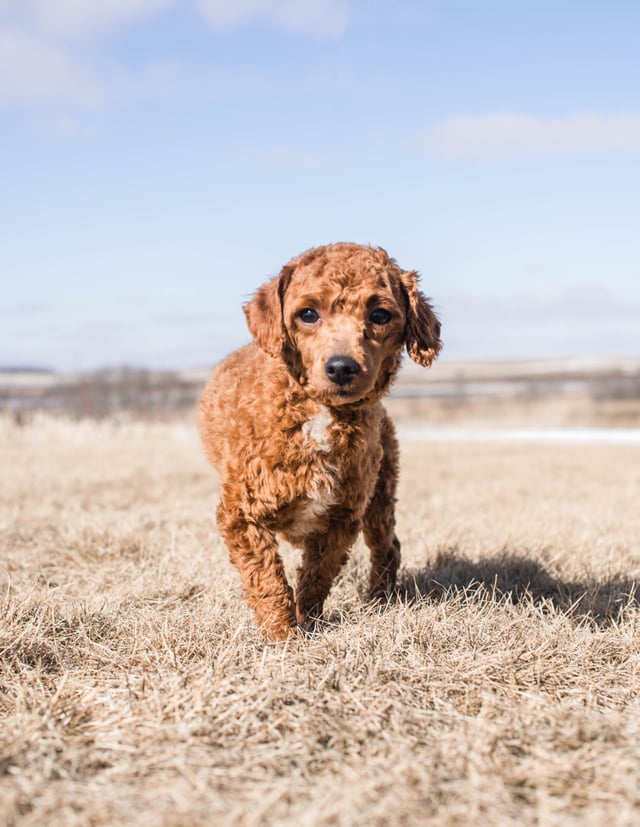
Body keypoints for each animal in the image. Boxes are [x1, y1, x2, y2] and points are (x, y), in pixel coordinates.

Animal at [199, 239, 440, 640]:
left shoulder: (341, 517)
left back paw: (380, 601)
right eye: (308, 314)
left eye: (380, 315)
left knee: (388, 546)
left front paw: (307, 621)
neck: (319, 414)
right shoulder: (241, 514)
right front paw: (283, 635)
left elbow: (316, 577)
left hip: (380, 492)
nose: (342, 367)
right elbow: (267, 578)